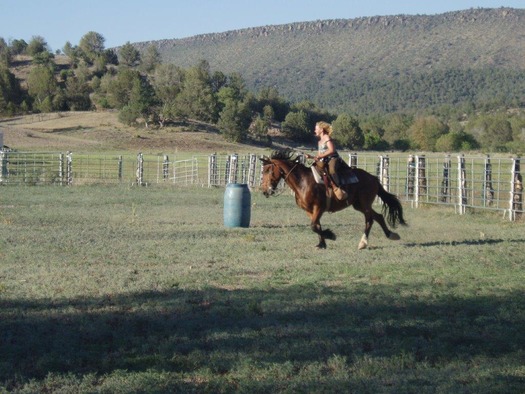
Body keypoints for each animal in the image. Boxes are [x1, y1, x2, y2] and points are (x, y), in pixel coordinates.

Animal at [258, 149, 406, 249]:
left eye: (268, 171)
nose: (265, 191)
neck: (303, 181)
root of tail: (373, 178)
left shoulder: (319, 208)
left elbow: (314, 226)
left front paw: (330, 235)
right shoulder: (309, 211)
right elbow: (316, 225)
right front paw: (322, 244)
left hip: (365, 204)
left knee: (369, 220)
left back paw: (363, 243)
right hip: (358, 205)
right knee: (378, 216)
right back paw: (391, 235)